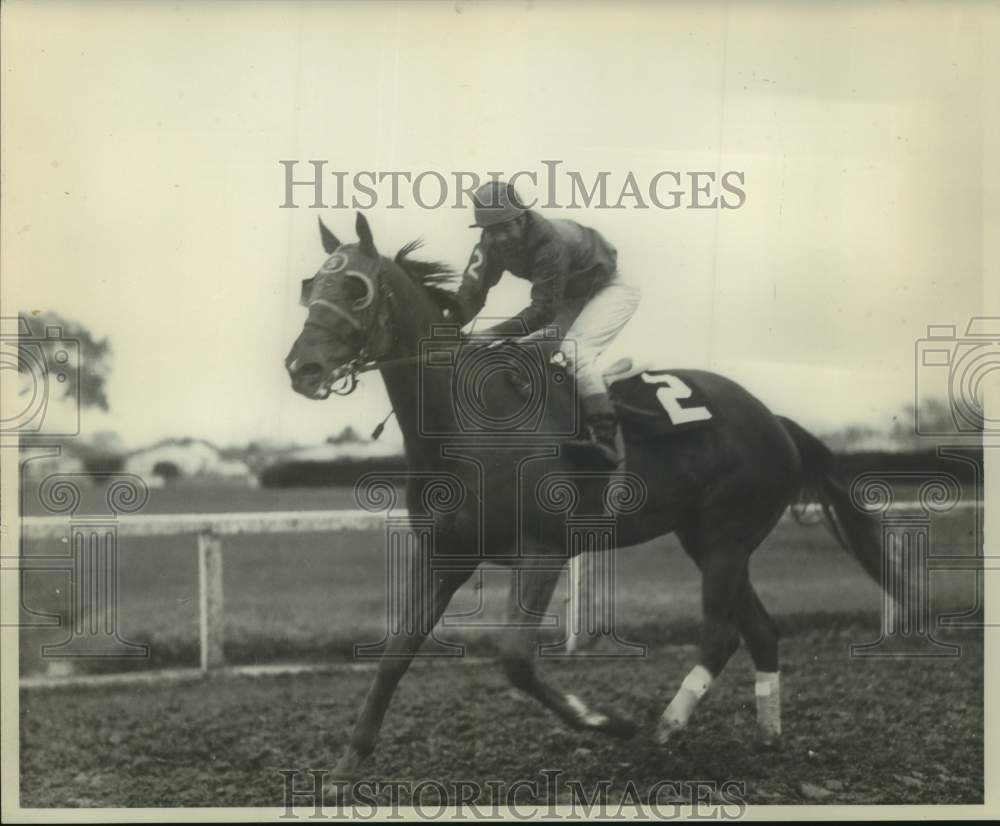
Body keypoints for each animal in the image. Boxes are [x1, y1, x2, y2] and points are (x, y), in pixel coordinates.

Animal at [286, 212, 888, 784]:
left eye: (358, 289)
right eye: (311, 284)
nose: (301, 368)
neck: (467, 425)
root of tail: (775, 420)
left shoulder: (543, 551)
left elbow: (516, 661)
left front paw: (606, 721)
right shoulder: (446, 554)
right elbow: (395, 653)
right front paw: (347, 764)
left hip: (727, 534)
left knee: (720, 634)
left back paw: (664, 729)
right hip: (706, 537)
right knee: (759, 631)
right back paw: (767, 737)